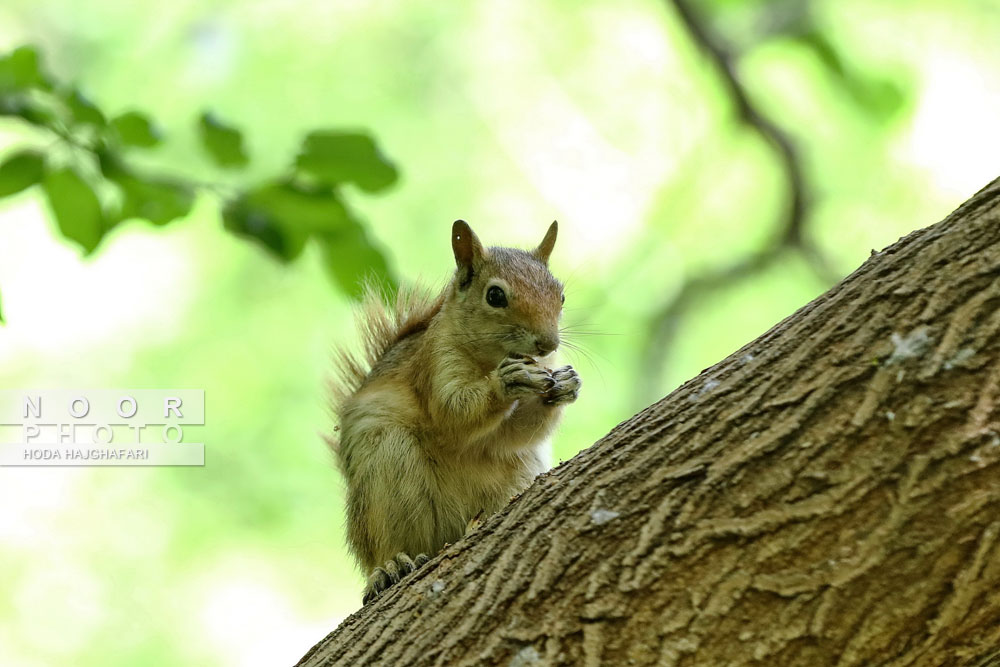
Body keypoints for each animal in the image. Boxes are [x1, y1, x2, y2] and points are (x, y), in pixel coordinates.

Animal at [326, 220, 580, 604]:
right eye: (495, 296)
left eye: (561, 295)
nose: (548, 343)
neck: (490, 358)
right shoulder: (434, 363)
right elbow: (452, 414)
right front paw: (505, 383)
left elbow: (517, 434)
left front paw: (566, 385)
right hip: (386, 472)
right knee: (387, 544)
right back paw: (389, 567)